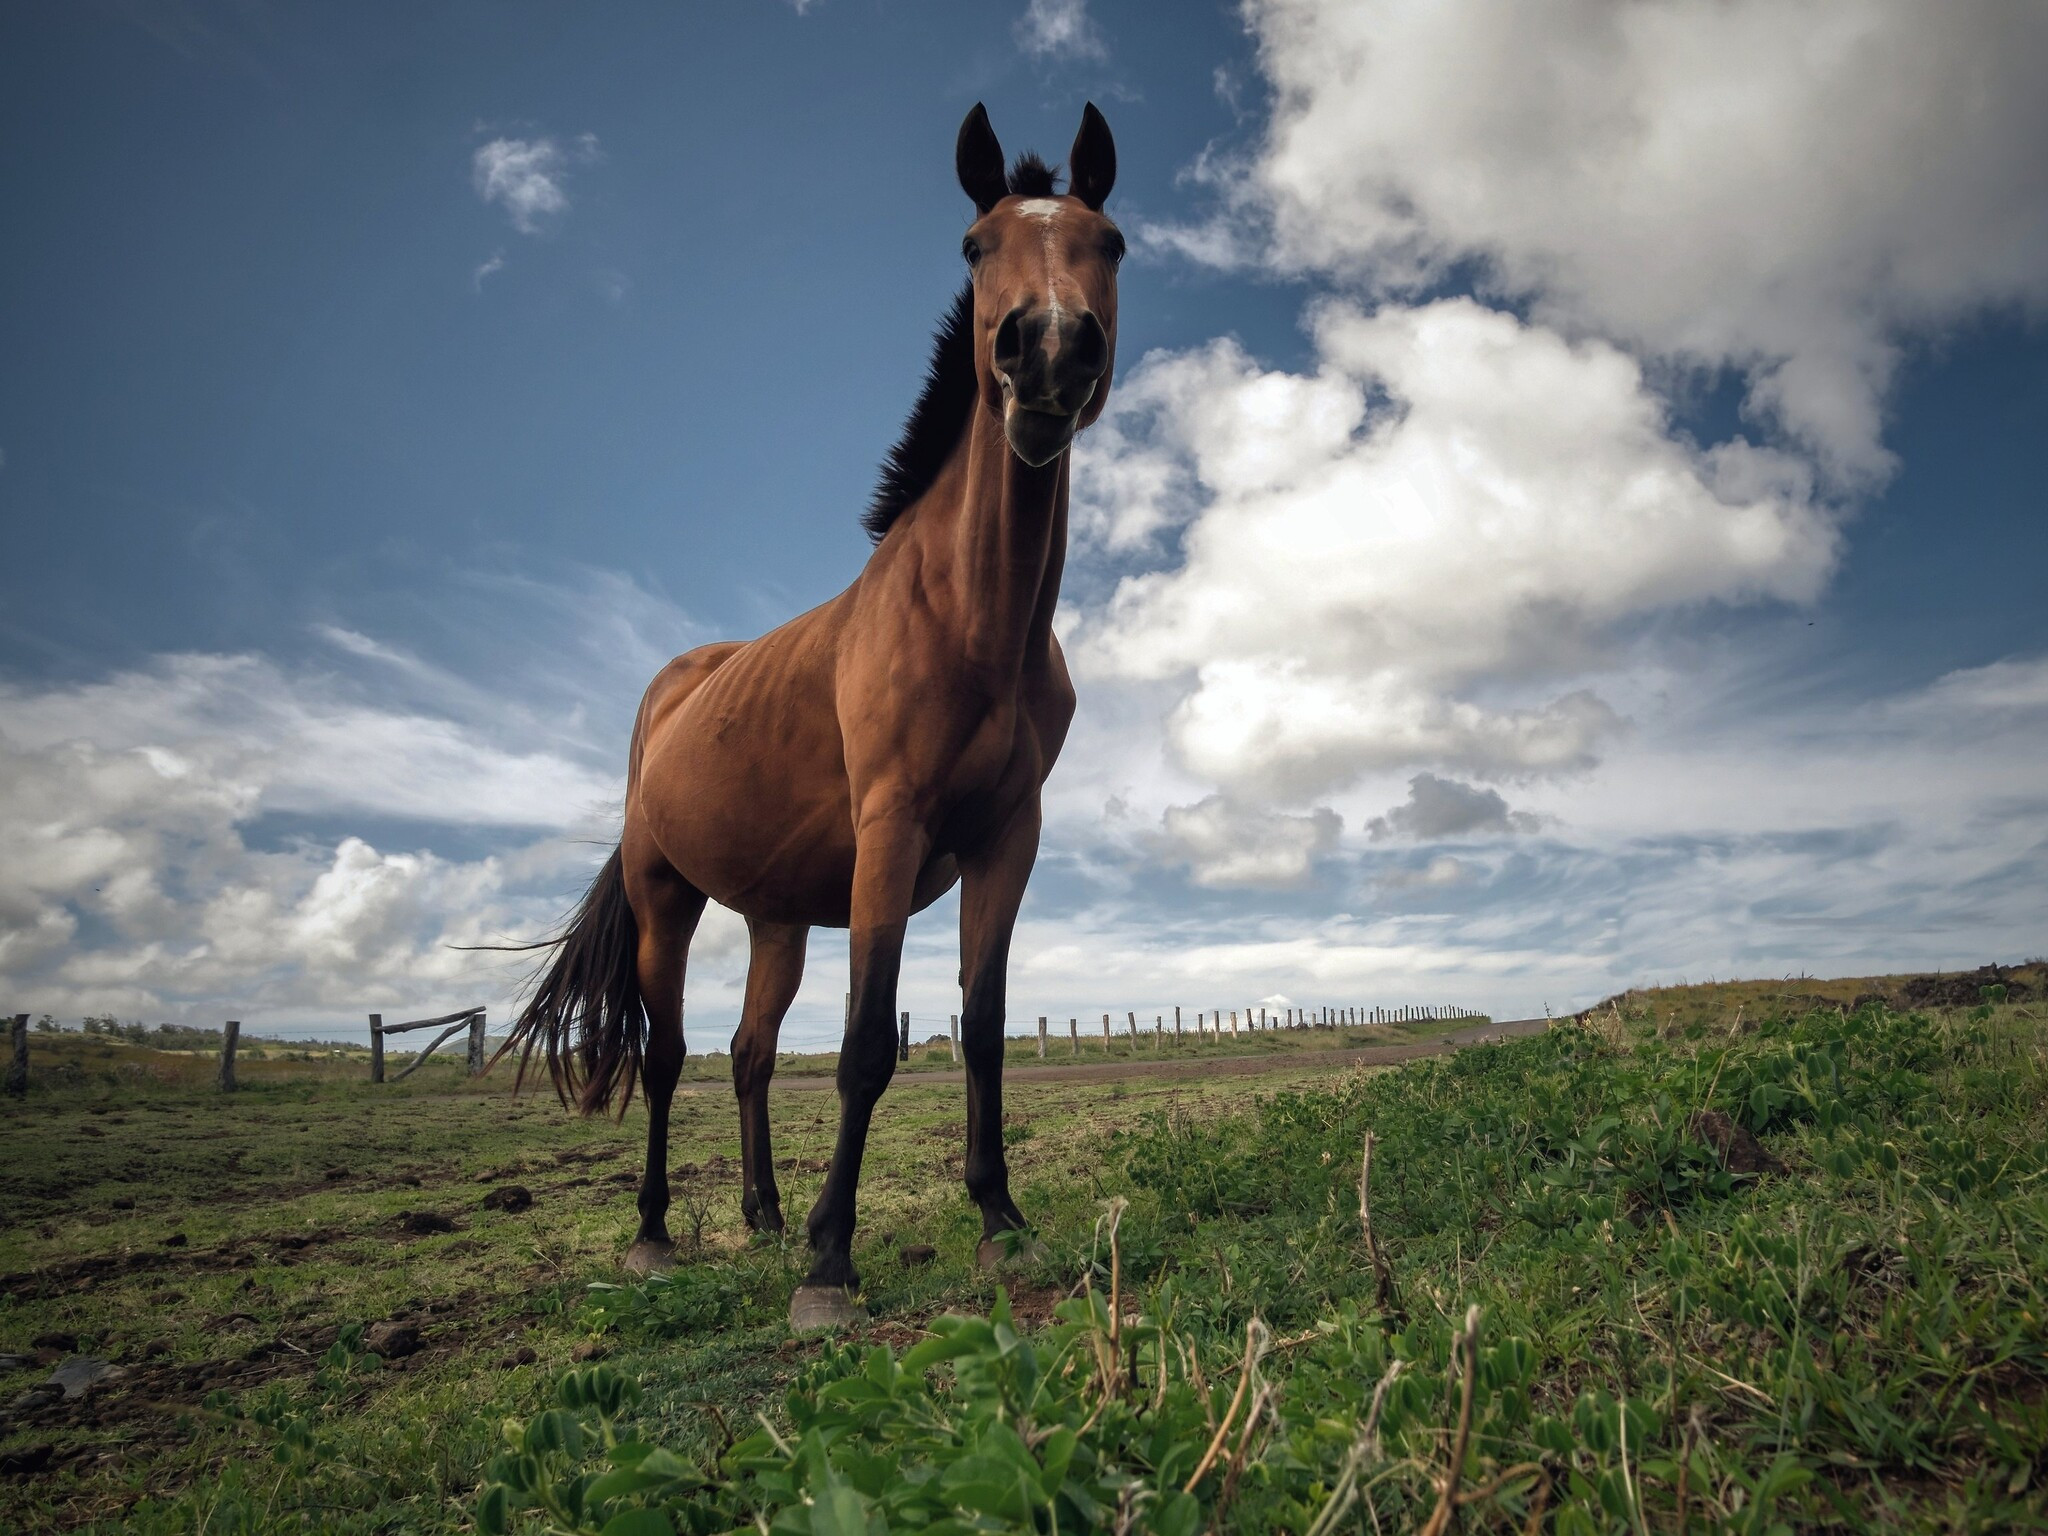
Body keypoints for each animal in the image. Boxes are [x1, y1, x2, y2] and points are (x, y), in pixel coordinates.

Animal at [505, 102, 1130, 1327]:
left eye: (1111, 244)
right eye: (976, 247)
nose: (1045, 351)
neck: (969, 621)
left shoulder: (1007, 842)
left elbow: (983, 1032)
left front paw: (999, 1221)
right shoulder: (889, 831)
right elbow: (865, 1047)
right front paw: (832, 1264)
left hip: (777, 921)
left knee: (748, 1050)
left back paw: (762, 1214)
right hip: (666, 896)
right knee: (668, 1054)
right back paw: (657, 1235)